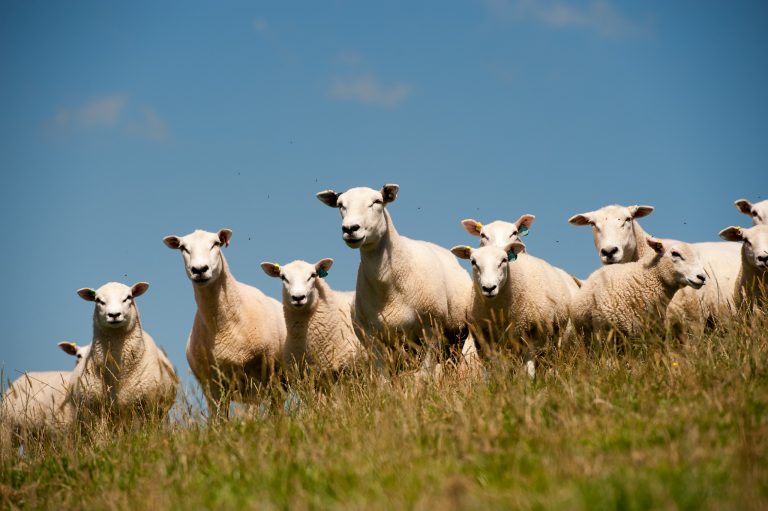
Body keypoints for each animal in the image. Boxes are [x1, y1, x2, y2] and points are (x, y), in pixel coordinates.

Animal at [163, 229, 286, 418]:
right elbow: (218, 420)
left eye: (216, 243)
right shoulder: (213, 385)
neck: (223, 326)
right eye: (183, 248)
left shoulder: (258, 376)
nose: (199, 269)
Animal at [316, 184, 472, 374]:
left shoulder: (431, 331)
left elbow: (424, 375)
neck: (387, 287)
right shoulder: (373, 340)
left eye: (377, 202)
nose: (350, 229)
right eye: (340, 205)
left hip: (454, 338)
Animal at [451, 240, 579, 377]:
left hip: (557, 339)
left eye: (504, 260)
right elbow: (498, 370)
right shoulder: (486, 341)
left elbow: (529, 370)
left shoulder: (532, 336)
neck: (499, 312)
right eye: (473, 262)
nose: (489, 288)